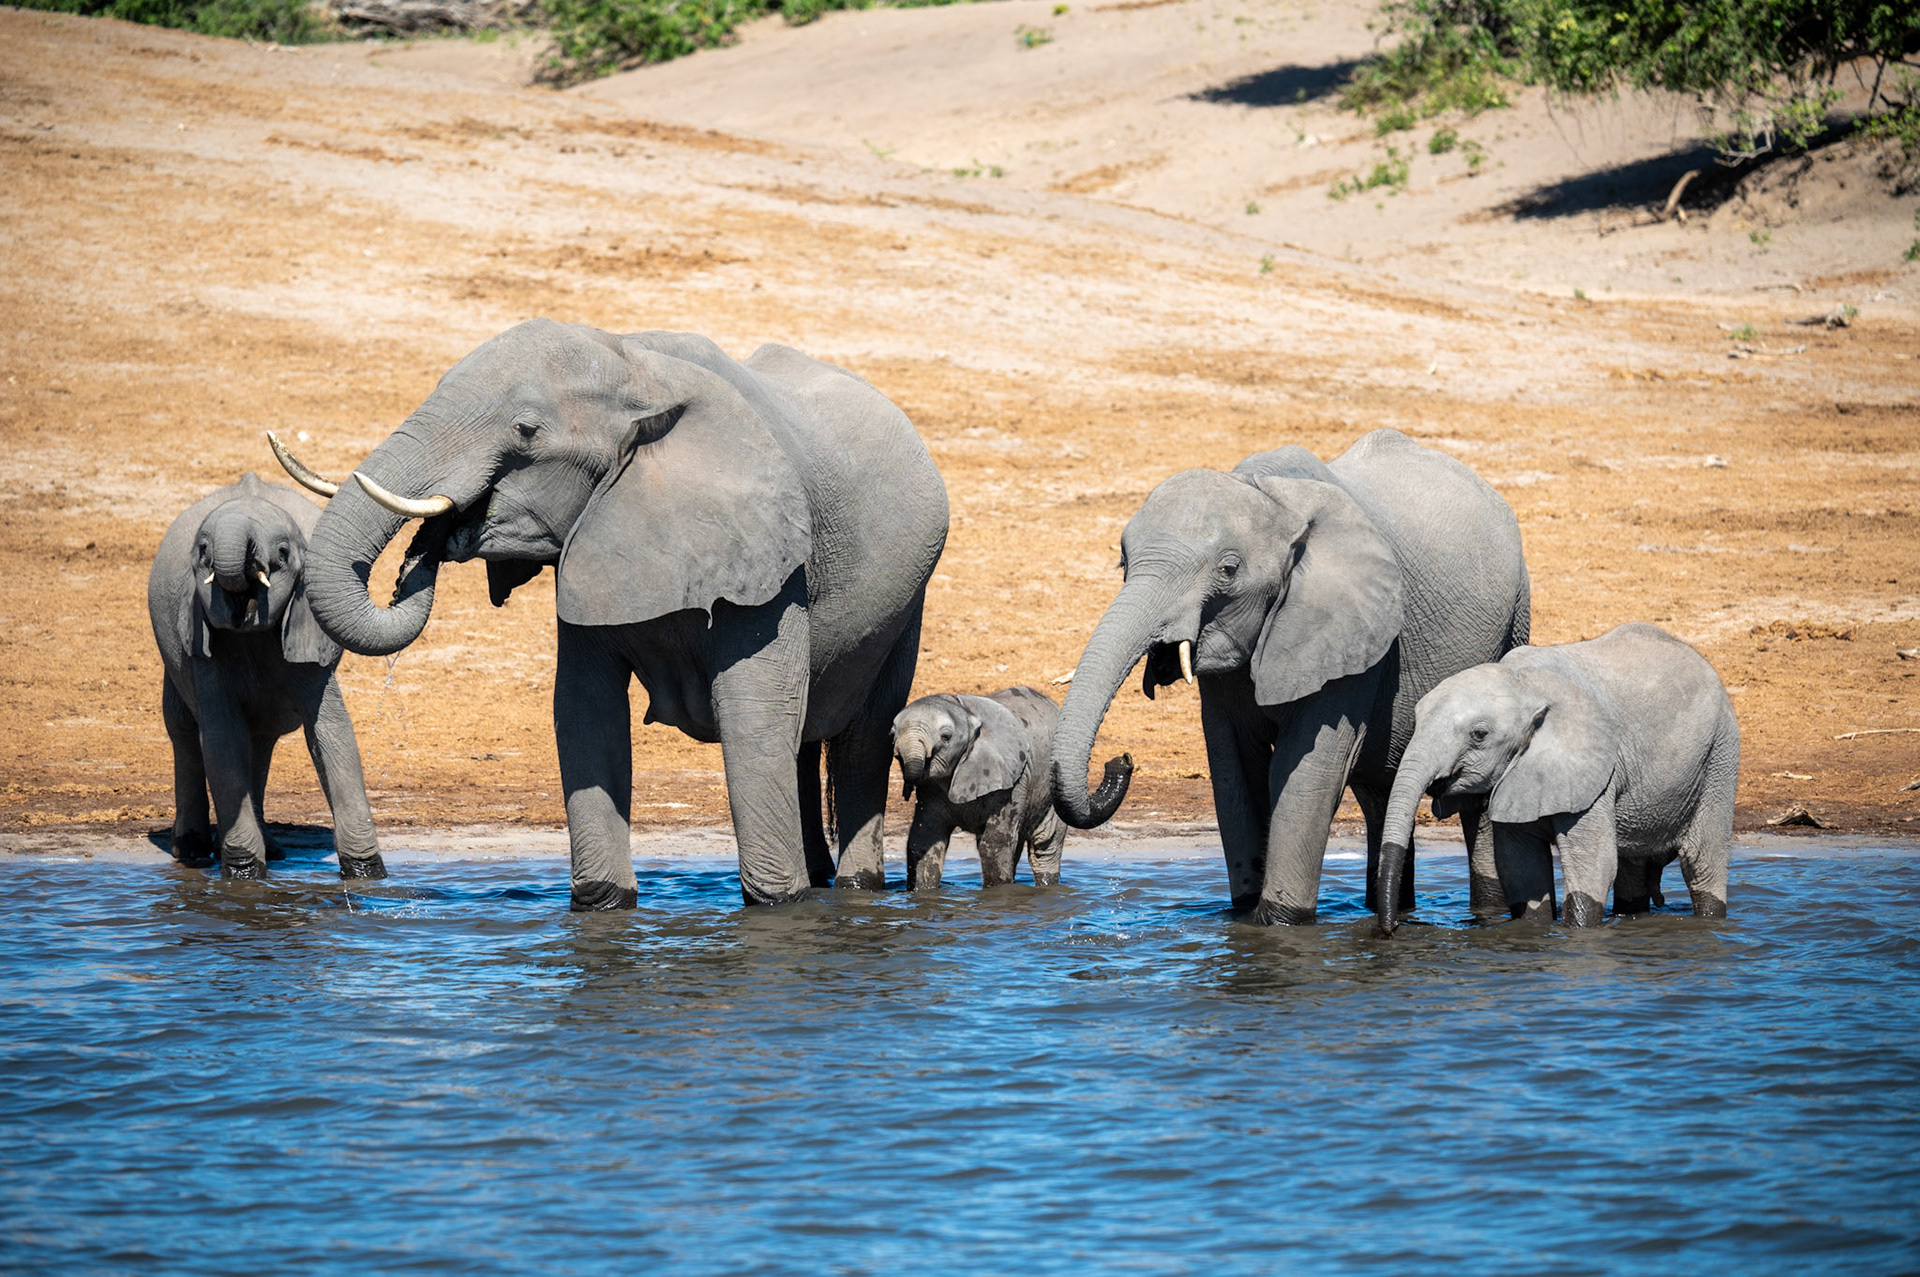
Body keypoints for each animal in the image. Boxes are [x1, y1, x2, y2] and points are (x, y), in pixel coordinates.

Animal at [147, 472, 385, 880]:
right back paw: (192, 851)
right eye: (203, 551)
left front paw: (368, 875)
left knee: (261, 742)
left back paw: (271, 851)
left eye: (284, 553)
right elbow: (222, 739)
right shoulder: (202, 641)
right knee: (184, 731)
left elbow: (332, 733)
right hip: (172, 655)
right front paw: (244, 876)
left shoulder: (309, 630)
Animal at [275, 320, 948, 909]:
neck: (637, 370)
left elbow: (755, 717)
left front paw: (779, 906)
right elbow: (583, 709)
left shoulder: (773, 565)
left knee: (862, 739)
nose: (432, 542)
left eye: (526, 430)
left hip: (908, 600)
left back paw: (856, 889)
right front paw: (603, 905)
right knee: (808, 741)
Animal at [892, 685, 1130, 890]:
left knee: (1044, 848)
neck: (966, 712)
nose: (1122, 759)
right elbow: (924, 840)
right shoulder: (931, 790)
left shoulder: (1013, 781)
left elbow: (993, 844)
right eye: (892, 734)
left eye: (946, 737)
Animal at [1051, 428, 1531, 924]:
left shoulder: (1349, 632)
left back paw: (1487, 910)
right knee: (1379, 793)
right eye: (1123, 563)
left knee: (1476, 797)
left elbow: (1304, 772)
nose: (1120, 761)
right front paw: (1243, 914)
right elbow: (1235, 767)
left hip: (1516, 616)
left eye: (1228, 570)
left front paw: (1280, 923)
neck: (1272, 501)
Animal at [1373, 622, 1738, 931]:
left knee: (1703, 863)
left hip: (1719, 754)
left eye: (1479, 735)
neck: (1523, 683)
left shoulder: (1594, 772)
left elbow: (1594, 865)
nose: (1393, 929)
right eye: (1416, 720)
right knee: (1633, 870)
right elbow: (1521, 868)